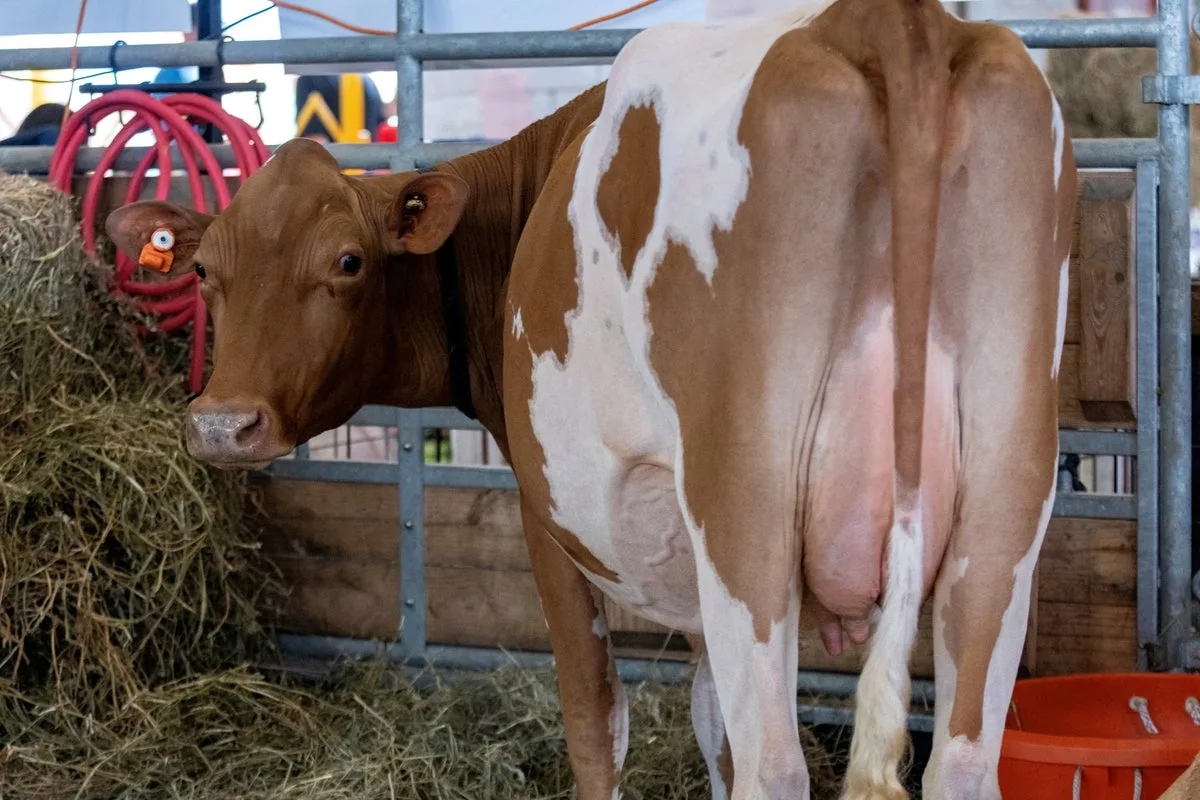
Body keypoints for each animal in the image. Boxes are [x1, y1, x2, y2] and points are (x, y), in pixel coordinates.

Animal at [105, 0, 1076, 796]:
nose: (223, 424)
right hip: (1003, 510)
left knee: (777, 765)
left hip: (746, 521)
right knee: (959, 758)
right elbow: (709, 727)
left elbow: (596, 726)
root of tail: (882, 22)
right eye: (203, 269)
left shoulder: (549, 523)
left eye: (347, 261)